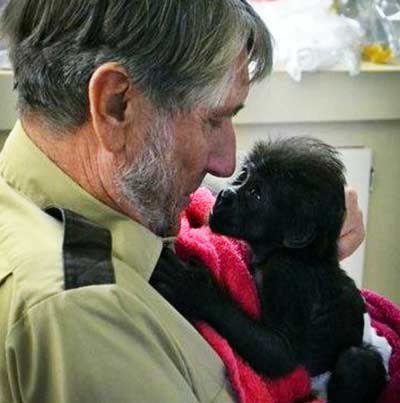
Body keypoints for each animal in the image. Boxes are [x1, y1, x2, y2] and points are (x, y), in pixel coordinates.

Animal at [151, 137, 388, 402]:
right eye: (243, 175)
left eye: (256, 194)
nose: (224, 194)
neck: (289, 251)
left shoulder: (286, 275)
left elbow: (280, 354)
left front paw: (195, 289)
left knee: (357, 360)